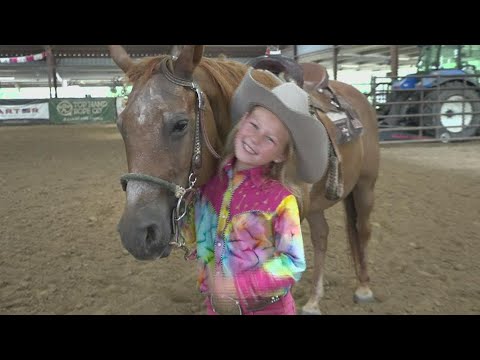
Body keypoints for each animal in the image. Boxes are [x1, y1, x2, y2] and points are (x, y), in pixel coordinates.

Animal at [108, 45, 378, 316]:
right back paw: (313, 301)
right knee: (322, 237)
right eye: (121, 125)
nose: (136, 234)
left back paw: (364, 288)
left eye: (180, 124)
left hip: (365, 186)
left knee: (363, 230)